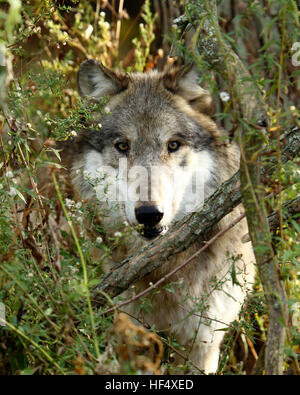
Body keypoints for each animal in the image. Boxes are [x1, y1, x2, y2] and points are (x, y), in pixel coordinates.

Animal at [59, 59, 255, 374]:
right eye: (122, 146)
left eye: (173, 145)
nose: (149, 214)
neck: (163, 272)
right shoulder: (127, 332)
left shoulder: (204, 341)